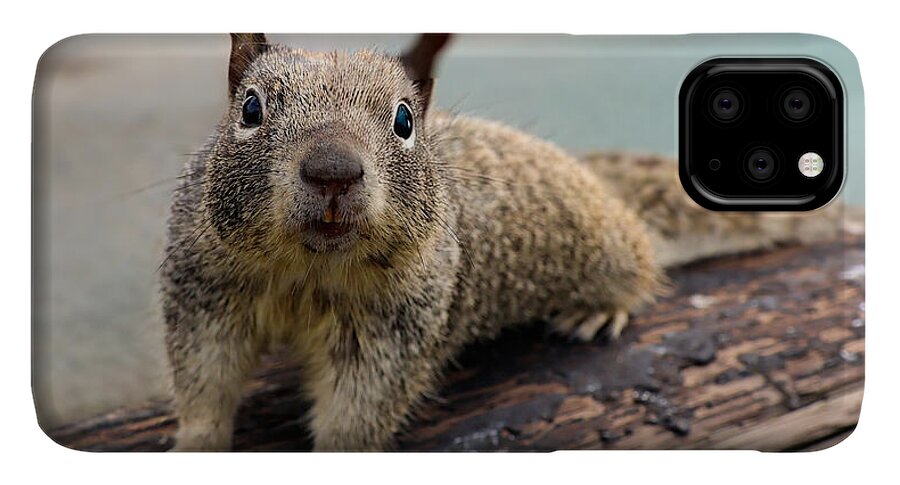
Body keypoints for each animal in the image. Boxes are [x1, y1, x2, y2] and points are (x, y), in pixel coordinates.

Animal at [162, 33, 838, 451]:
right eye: (250, 109)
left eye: (405, 120)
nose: (333, 170)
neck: (309, 271)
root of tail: (596, 179)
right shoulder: (205, 290)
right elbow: (204, 378)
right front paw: (195, 443)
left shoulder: (396, 326)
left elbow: (358, 409)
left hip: (608, 246)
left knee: (639, 261)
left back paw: (600, 308)